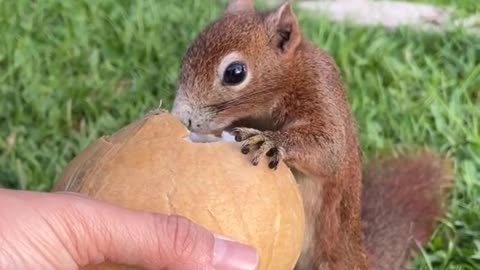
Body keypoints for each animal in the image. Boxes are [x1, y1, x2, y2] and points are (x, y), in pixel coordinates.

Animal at [170, 1, 454, 268]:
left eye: (235, 72)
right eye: (186, 57)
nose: (182, 117)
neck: (288, 78)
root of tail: (358, 255)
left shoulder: (320, 90)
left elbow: (329, 149)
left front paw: (270, 140)